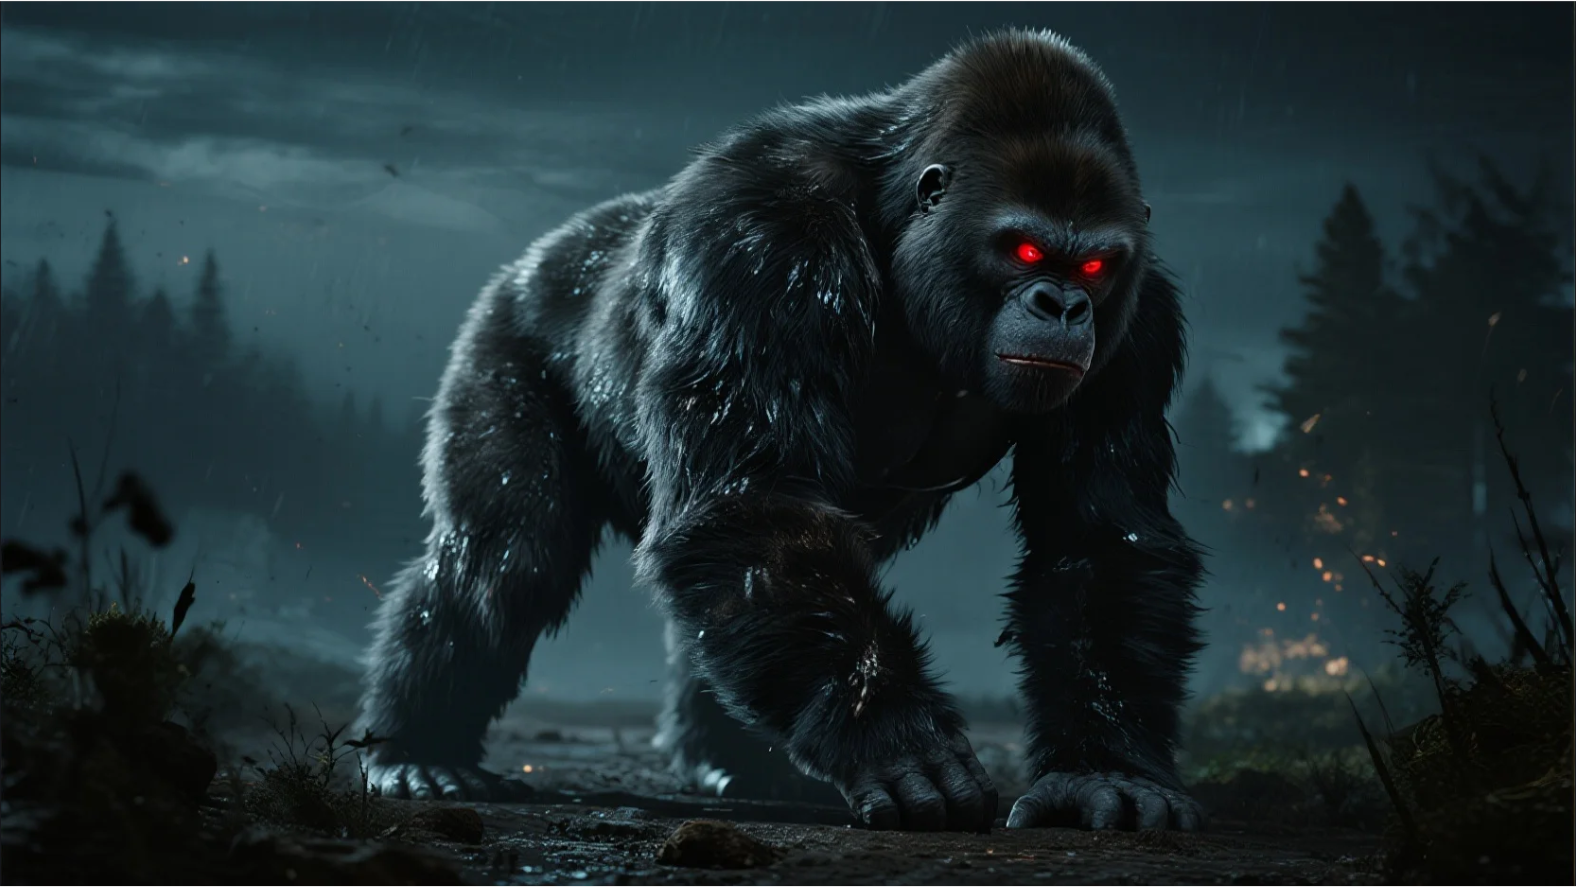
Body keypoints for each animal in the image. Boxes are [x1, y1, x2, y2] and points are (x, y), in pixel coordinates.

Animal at [357, 28, 1206, 833]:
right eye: (1025, 248)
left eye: (1095, 266)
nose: (1063, 307)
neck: (894, 216)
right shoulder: (762, 240)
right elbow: (755, 501)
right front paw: (894, 738)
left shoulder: (1141, 322)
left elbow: (1095, 543)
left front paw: (1106, 772)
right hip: (507, 328)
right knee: (506, 557)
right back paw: (418, 749)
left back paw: (731, 760)